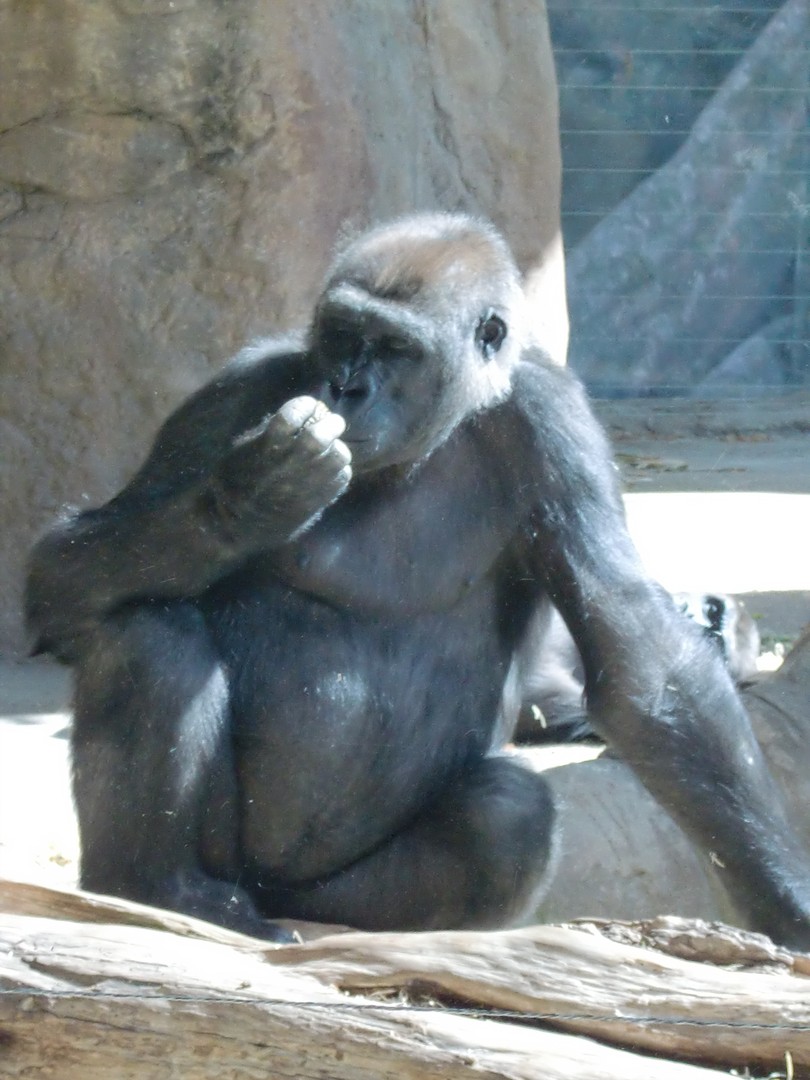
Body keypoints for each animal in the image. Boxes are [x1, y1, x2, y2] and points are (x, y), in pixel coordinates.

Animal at [22, 210, 810, 946]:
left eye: (398, 349)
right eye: (343, 332)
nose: (346, 386)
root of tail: (272, 898)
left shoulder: (556, 423)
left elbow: (645, 661)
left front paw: (783, 900)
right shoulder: (234, 392)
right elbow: (58, 577)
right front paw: (244, 498)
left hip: (326, 900)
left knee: (503, 818)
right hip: (234, 867)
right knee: (147, 633)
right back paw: (157, 885)